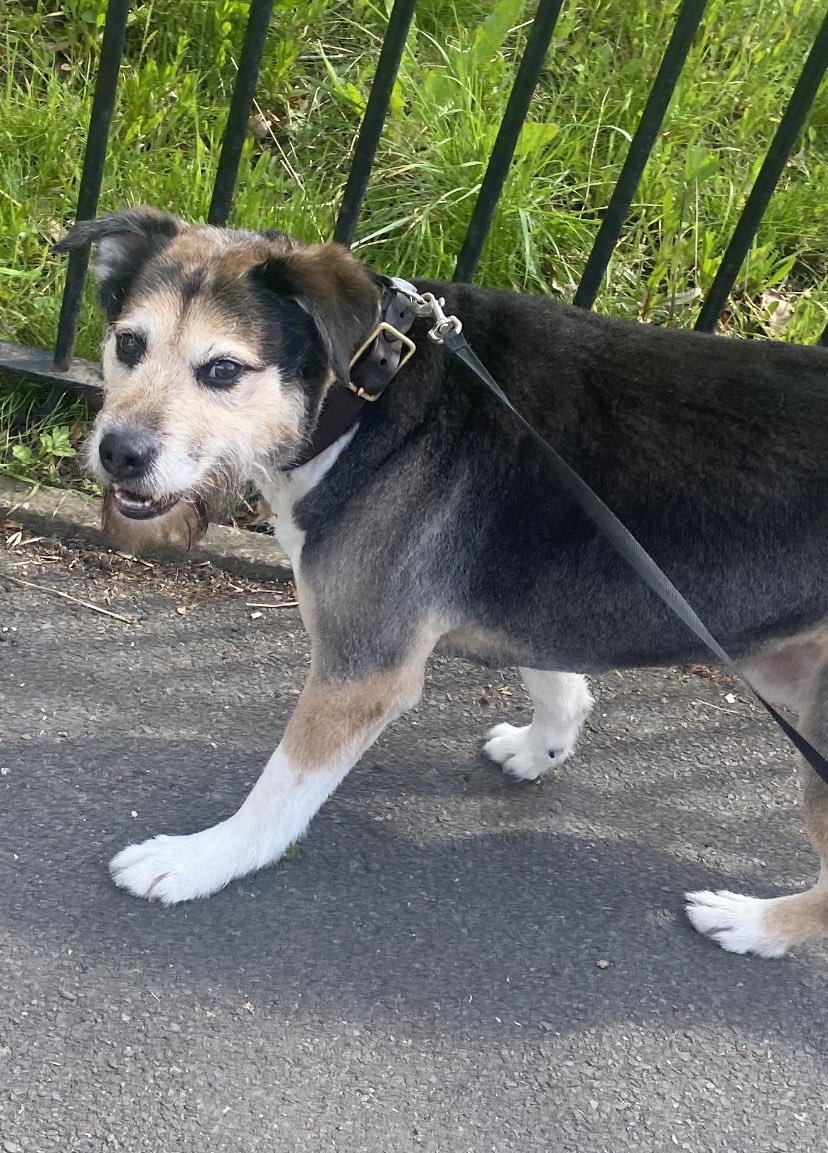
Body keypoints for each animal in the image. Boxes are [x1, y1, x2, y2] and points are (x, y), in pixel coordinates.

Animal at [55, 205, 828, 954]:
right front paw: (542, 745)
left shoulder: (363, 668)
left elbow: (278, 794)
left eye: (221, 370)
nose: (120, 452)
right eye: (129, 345)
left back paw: (752, 925)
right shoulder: (520, 602)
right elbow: (555, 681)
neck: (367, 389)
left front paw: (198, 860)